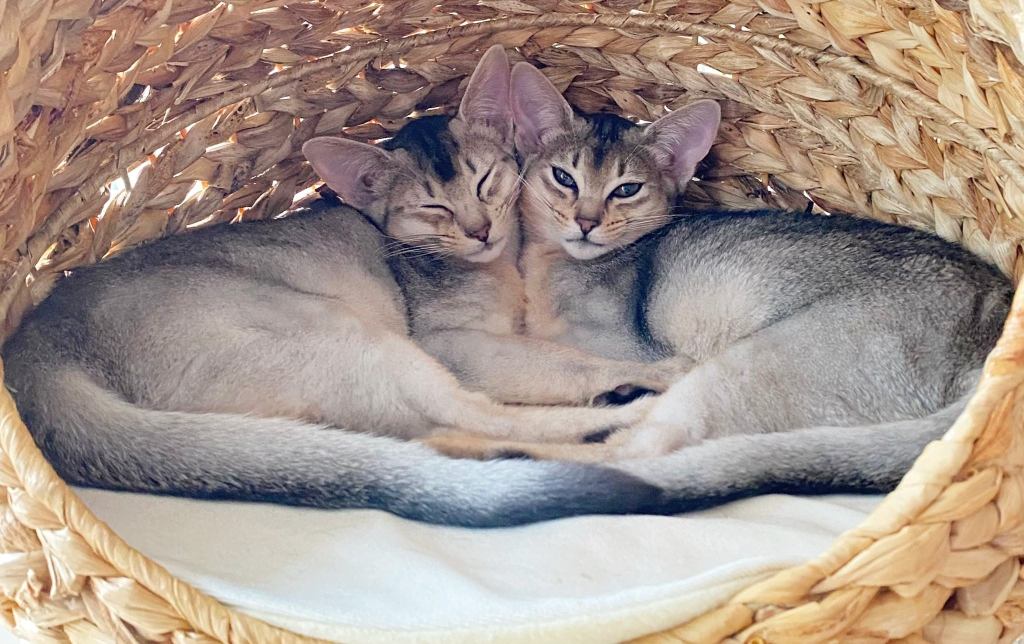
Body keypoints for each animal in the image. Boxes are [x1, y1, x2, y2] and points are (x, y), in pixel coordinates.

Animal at [0, 47, 669, 528]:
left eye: (485, 182)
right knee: (475, 418)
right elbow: (561, 360)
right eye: (434, 208)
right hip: (351, 336)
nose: (480, 231)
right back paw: (632, 414)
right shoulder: (456, 343)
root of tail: (36, 352)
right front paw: (654, 370)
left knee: (435, 433)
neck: (499, 266)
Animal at [426, 61, 1012, 510]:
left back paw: (468, 447)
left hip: (754, 360)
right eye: (563, 178)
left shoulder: (617, 348)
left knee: (636, 454)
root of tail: (992, 337)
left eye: (626, 189)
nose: (586, 222)